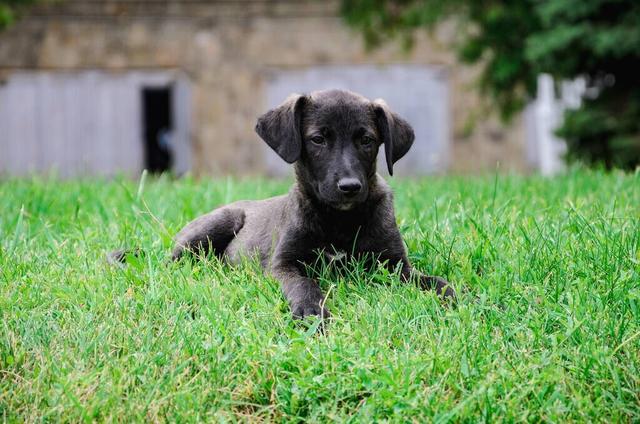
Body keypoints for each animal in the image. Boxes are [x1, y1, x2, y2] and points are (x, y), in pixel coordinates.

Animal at [165, 88, 456, 318]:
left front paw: (454, 296)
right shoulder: (283, 264)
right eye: (318, 139)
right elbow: (304, 284)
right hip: (218, 224)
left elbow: (434, 280)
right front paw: (310, 310)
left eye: (367, 140)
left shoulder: (395, 265)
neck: (340, 220)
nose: (350, 187)